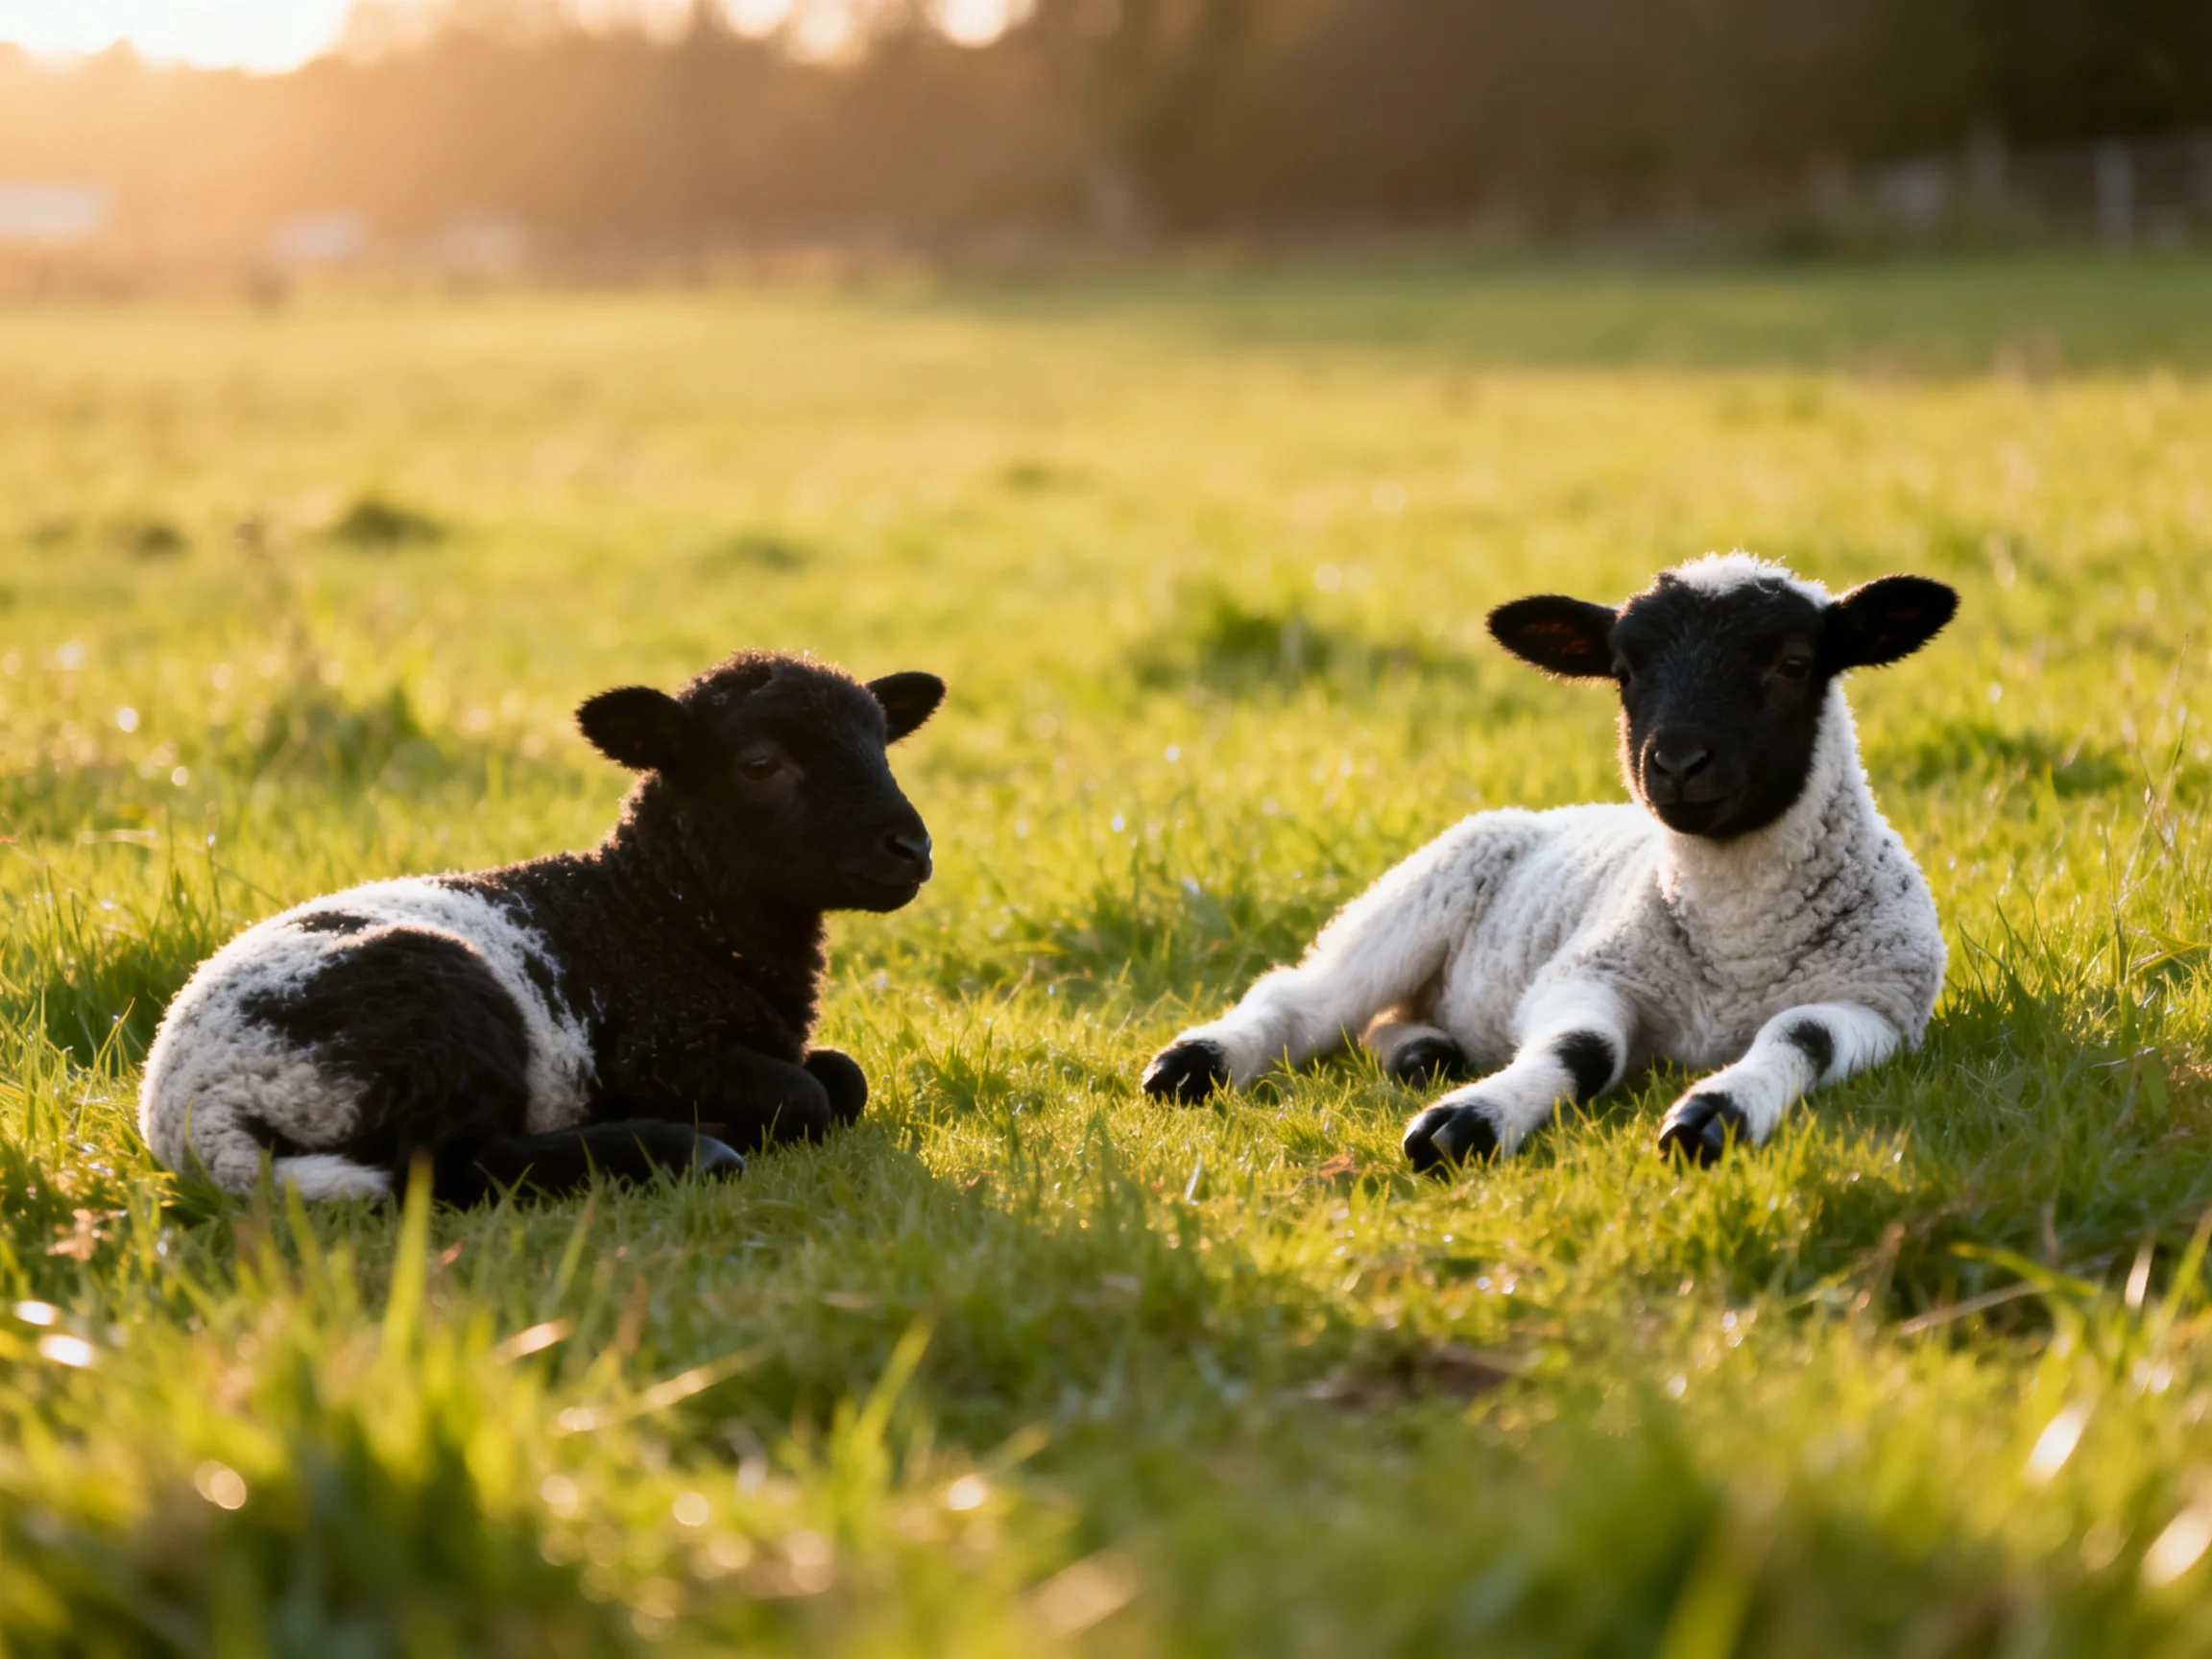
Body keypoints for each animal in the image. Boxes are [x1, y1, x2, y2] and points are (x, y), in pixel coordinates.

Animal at [138, 651, 945, 1203]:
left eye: (882, 745)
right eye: (760, 764)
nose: (912, 848)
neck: (652, 916)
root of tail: (194, 1115)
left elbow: (845, 1076)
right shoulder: (654, 1053)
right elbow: (807, 1096)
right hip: (439, 1014)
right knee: (447, 1168)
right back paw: (692, 1150)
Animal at [1140, 553, 1957, 1169]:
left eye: (1793, 664)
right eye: (1624, 672)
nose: (1677, 763)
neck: (1736, 949)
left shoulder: (1878, 1006)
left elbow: (1800, 1038)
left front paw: (1713, 1115)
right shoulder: (1587, 970)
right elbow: (1581, 1049)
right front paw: (1470, 1121)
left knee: (1382, 1019)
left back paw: (1421, 1054)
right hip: (1414, 899)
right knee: (1303, 999)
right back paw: (1196, 1064)